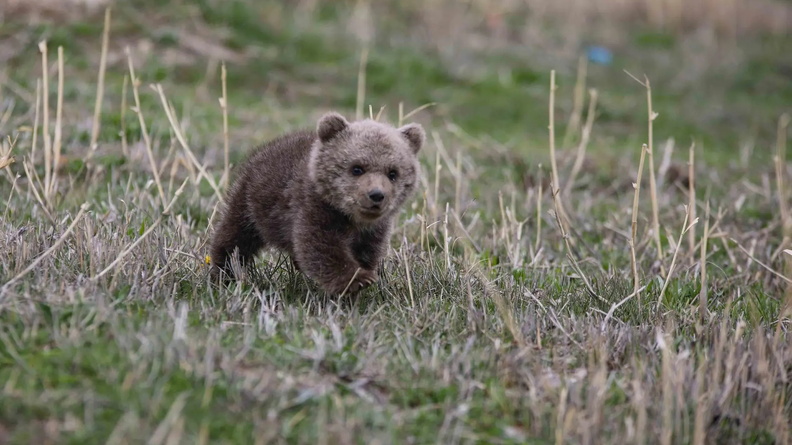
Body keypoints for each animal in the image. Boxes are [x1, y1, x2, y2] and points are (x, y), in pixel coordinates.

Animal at [209, 111, 425, 295]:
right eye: (357, 168)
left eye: (393, 173)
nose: (376, 195)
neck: (351, 218)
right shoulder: (313, 209)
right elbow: (320, 248)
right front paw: (356, 280)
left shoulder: (374, 230)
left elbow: (366, 252)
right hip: (250, 202)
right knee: (235, 237)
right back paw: (223, 274)